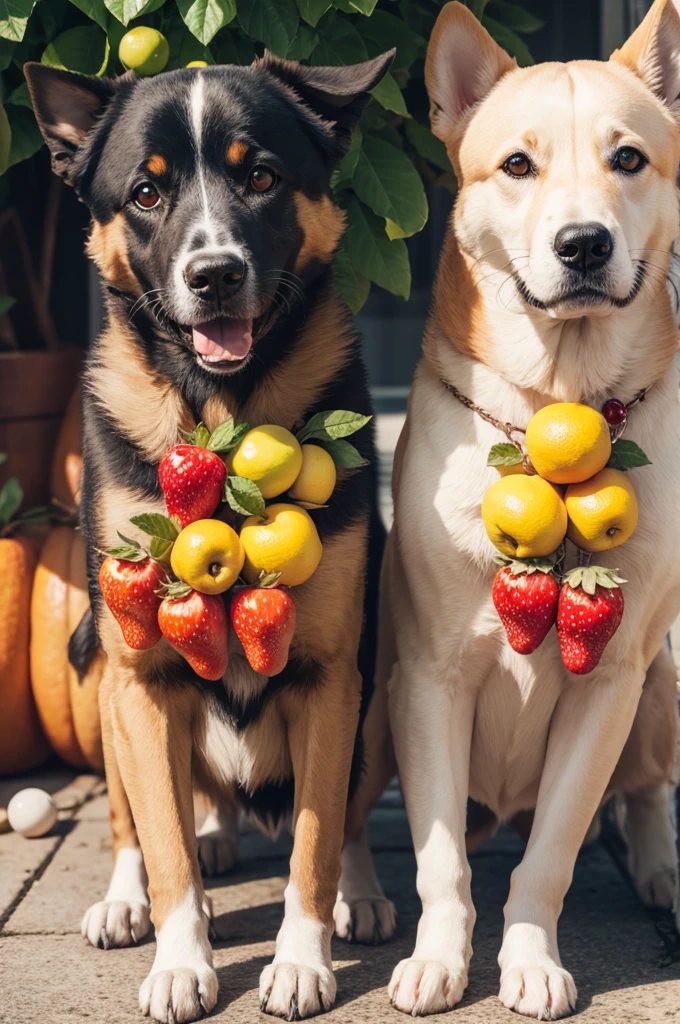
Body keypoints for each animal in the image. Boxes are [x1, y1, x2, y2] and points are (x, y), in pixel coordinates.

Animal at [26, 56, 395, 1024]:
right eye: (147, 192)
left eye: (260, 176)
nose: (216, 274)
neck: (221, 421)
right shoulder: (143, 677)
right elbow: (167, 851)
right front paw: (180, 961)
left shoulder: (329, 674)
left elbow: (314, 842)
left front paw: (301, 959)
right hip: (97, 667)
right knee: (137, 818)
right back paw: (131, 894)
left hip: (379, 686)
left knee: (347, 815)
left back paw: (363, 892)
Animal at [383, 4, 680, 1019]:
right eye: (517, 164)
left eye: (628, 158)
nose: (584, 244)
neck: (559, 401)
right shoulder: (427, 679)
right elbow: (439, 863)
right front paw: (439, 957)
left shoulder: (612, 682)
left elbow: (549, 854)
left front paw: (531, 960)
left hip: (660, 690)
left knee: (647, 791)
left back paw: (658, 868)